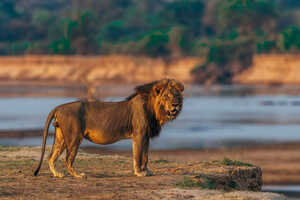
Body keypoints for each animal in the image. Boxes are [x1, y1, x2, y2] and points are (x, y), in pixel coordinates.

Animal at [32, 79, 183, 177]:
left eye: (177, 95)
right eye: (167, 96)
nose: (175, 104)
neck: (155, 110)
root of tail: (58, 107)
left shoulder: (146, 136)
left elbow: (145, 156)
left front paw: (147, 171)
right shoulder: (139, 135)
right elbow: (138, 155)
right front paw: (139, 172)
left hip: (61, 137)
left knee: (51, 156)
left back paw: (57, 174)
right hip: (74, 136)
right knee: (68, 158)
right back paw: (78, 175)